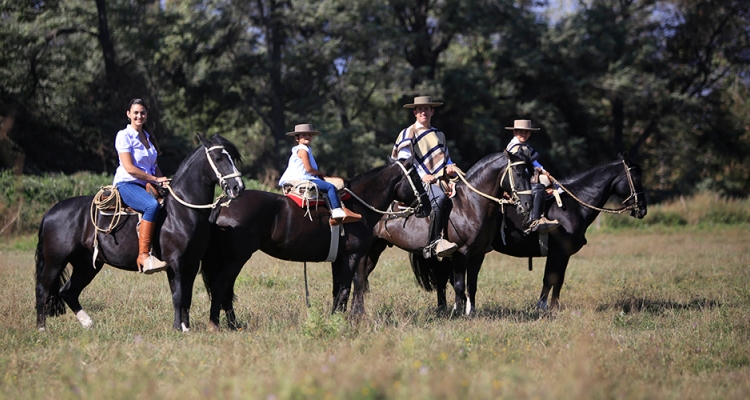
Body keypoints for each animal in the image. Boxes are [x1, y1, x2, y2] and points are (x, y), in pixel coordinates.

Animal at [35, 134, 244, 332]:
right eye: (218, 158)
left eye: (232, 158)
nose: (238, 187)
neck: (182, 211)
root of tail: (50, 213)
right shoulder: (174, 262)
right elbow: (178, 296)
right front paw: (178, 328)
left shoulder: (192, 264)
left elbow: (187, 296)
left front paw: (186, 327)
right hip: (56, 260)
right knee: (43, 288)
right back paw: (41, 328)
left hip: (87, 264)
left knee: (68, 291)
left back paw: (88, 324)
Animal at [200, 156, 432, 328]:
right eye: (416, 178)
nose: (428, 206)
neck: (358, 205)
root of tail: (224, 202)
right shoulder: (352, 257)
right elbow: (346, 289)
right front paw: (340, 322)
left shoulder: (339, 260)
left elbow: (338, 290)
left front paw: (335, 318)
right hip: (236, 259)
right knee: (221, 286)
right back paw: (218, 324)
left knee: (226, 289)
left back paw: (232, 324)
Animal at [358, 152, 536, 314]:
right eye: (518, 173)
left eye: (531, 174)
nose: (528, 204)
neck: (471, 204)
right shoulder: (460, 253)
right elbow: (459, 285)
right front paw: (457, 313)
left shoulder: (478, 255)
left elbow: (472, 285)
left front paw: (471, 313)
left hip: (375, 249)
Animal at [414, 152, 648, 310]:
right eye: (636, 179)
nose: (643, 209)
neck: (572, 205)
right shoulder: (558, 252)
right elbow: (549, 278)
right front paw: (543, 307)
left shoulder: (564, 254)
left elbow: (558, 280)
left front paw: (554, 307)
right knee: (443, 277)